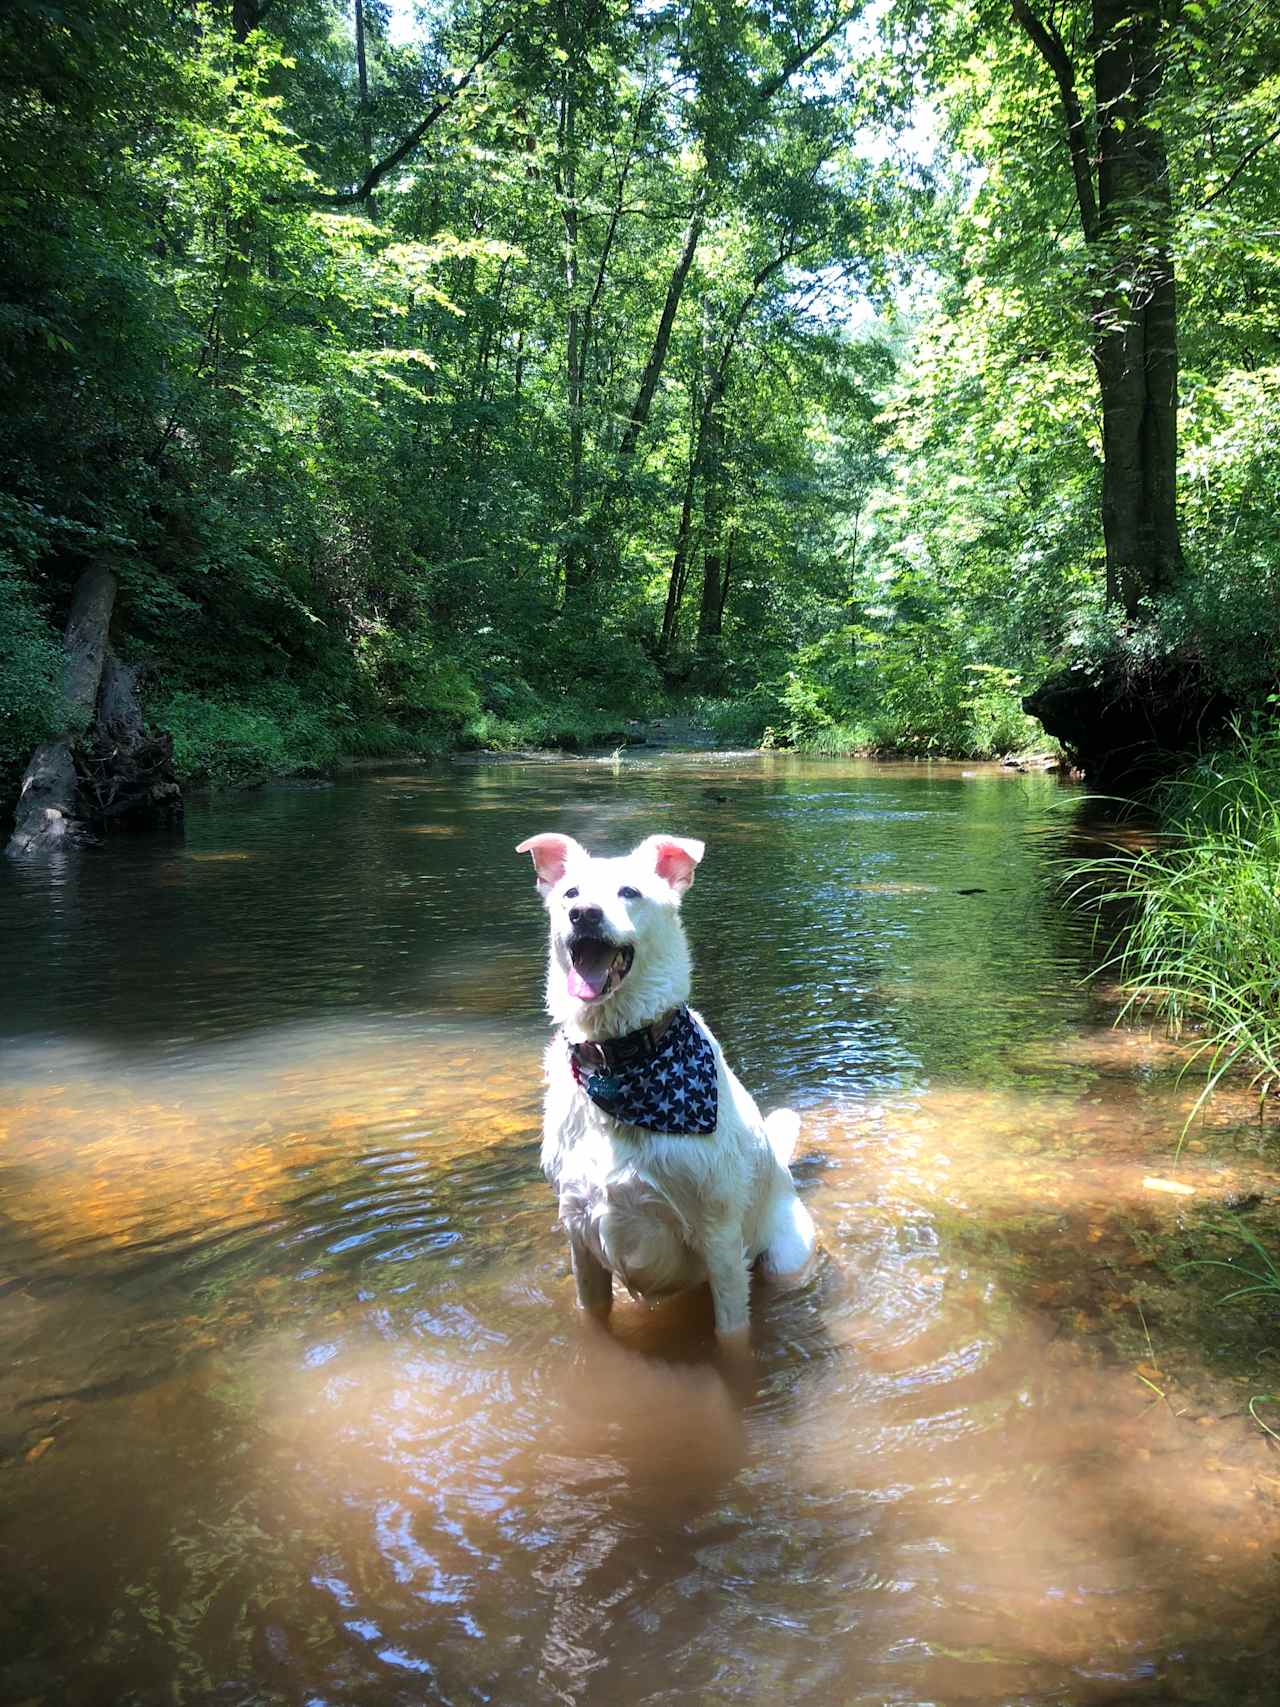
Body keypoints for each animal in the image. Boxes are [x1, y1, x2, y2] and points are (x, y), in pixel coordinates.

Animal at [515, 833, 815, 1351]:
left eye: (629, 892)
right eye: (571, 894)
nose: (584, 914)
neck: (620, 1065)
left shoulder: (720, 1239)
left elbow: (732, 1337)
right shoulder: (579, 1236)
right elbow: (591, 1316)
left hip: (785, 1256)